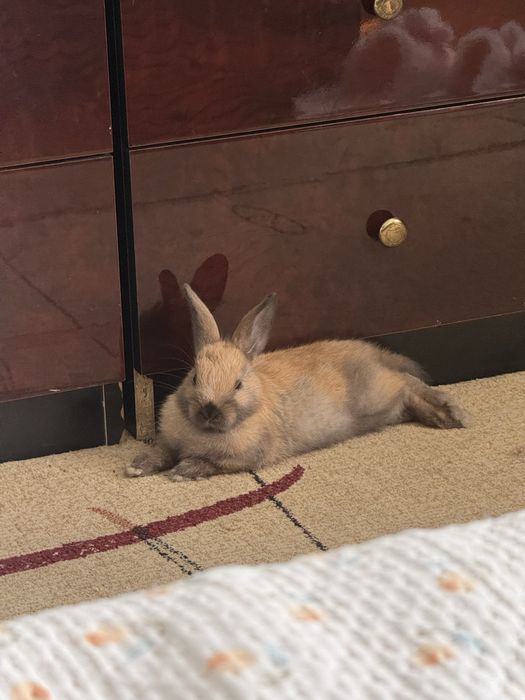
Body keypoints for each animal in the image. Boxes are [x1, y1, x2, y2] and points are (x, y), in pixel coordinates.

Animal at [126, 285, 467, 481]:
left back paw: (450, 414)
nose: (210, 411)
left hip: (378, 394)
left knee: (408, 383)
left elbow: (211, 464)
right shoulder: (169, 442)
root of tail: (375, 354)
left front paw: (183, 471)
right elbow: (162, 453)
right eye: (195, 377)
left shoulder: (245, 458)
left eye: (238, 384)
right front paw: (137, 466)